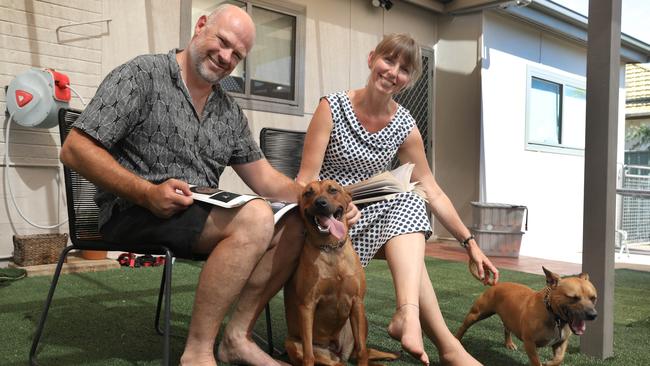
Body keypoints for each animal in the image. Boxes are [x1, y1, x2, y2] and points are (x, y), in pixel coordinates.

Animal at [284, 181, 398, 366]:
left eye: (333, 190)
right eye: (308, 193)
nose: (320, 203)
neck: (331, 248)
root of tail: (336, 351)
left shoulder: (357, 302)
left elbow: (362, 350)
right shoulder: (307, 305)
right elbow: (308, 355)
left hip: (361, 320)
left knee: (362, 351)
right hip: (295, 344)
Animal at [454, 266, 596, 366]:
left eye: (593, 298)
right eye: (573, 298)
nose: (593, 315)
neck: (553, 315)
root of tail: (497, 284)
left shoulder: (561, 342)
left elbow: (559, 359)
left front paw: (550, 363)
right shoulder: (530, 343)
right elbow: (536, 362)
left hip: (508, 318)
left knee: (507, 329)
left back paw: (509, 344)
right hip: (476, 313)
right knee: (463, 327)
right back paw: (456, 339)